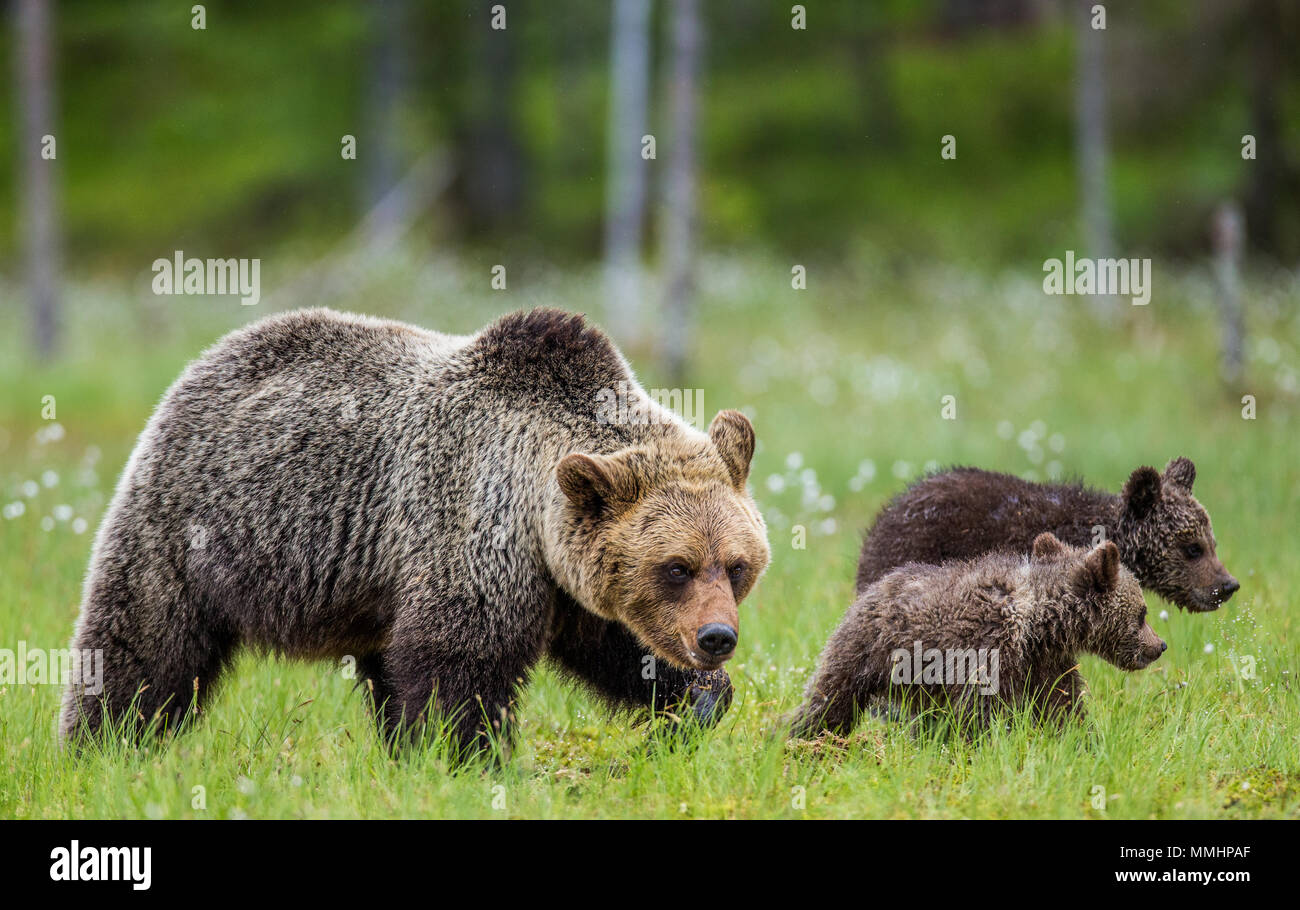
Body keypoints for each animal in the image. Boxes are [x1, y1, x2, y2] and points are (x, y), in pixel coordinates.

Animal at [59, 307, 771, 759]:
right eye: (675, 566)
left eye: (736, 565)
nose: (717, 638)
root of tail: (205, 360)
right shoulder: (473, 526)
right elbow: (458, 661)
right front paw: (464, 758)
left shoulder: (569, 580)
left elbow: (620, 649)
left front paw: (697, 701)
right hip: (193, 525)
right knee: (143, 641)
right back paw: (102, 745)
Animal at [789, 533, 1166, 738]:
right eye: (1143, 612)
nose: (1159, 645)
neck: (1040, 625)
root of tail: (873, 588)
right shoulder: (987, 650)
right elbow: (980, 715)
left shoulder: (1046, 663)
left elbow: (1064, 708)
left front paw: (1083, 742)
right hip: (866, 650)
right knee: (830, 700)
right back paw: (799, 739)